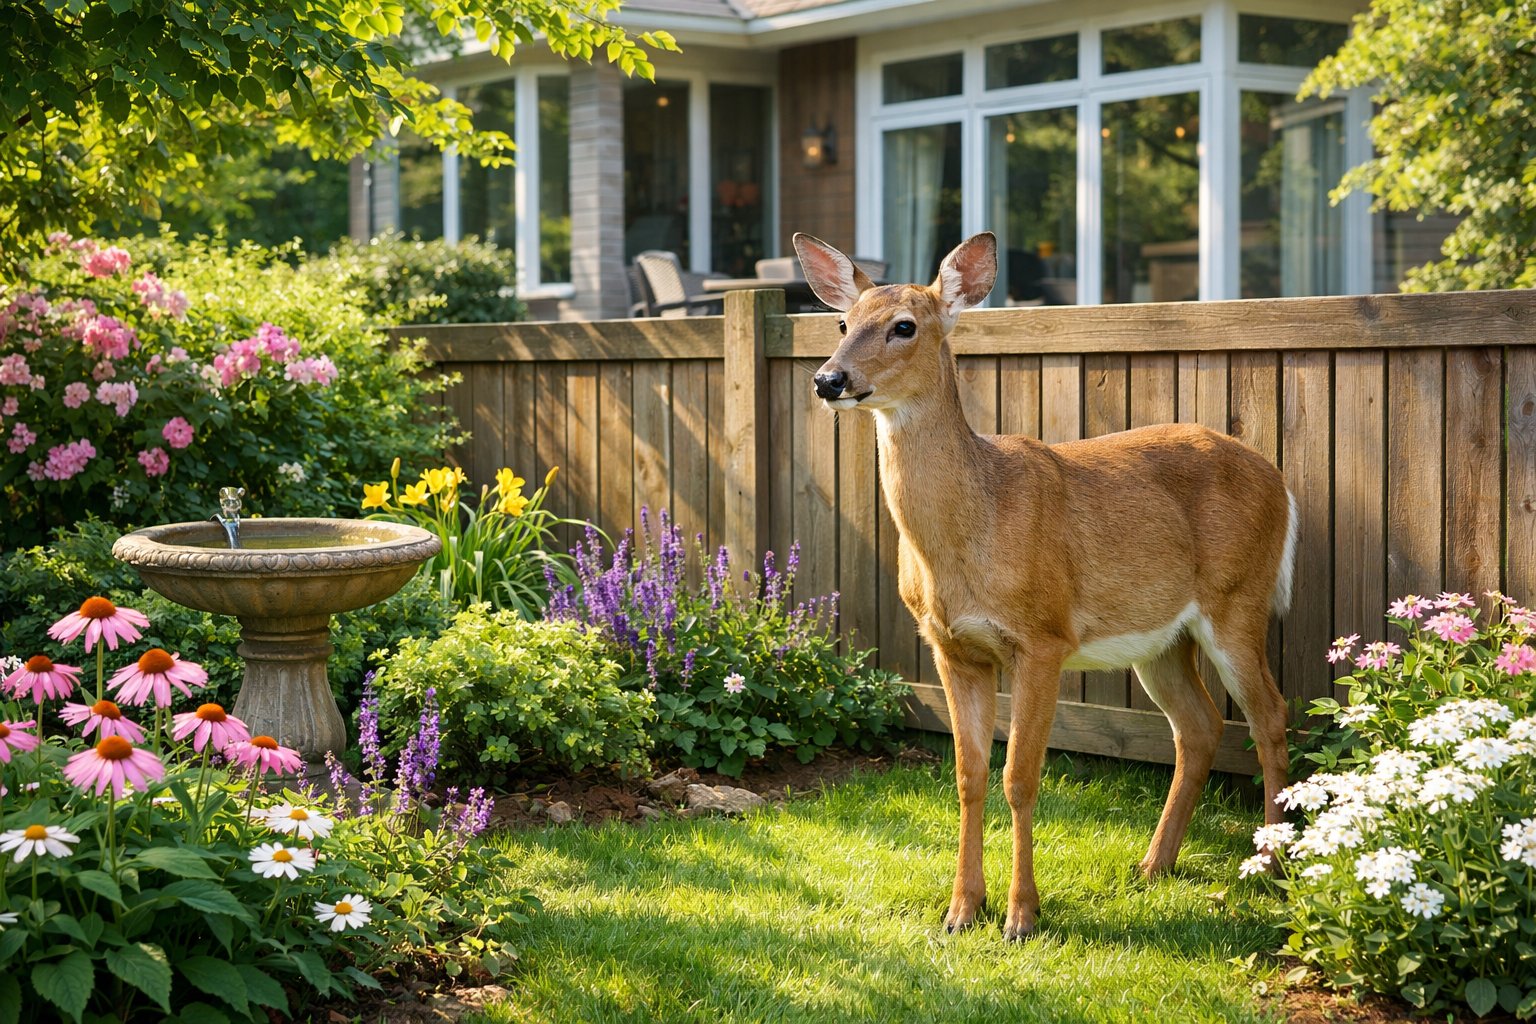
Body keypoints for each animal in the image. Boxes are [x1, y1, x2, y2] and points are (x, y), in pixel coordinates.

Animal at [793, 231, 1298, 941]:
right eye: (841, 323)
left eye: (904, 326)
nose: (829, 379)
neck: (973, 529)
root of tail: (1280, 479)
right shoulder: (951, 646)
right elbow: (969, 775)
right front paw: (960, 911)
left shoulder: (1043, 637)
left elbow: (1020, 777)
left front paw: (1021, 916)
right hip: (1161, 639)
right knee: (1198, 727)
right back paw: (1153, 865)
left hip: (1239, 600)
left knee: (1270, 717)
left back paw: (1273, 865)